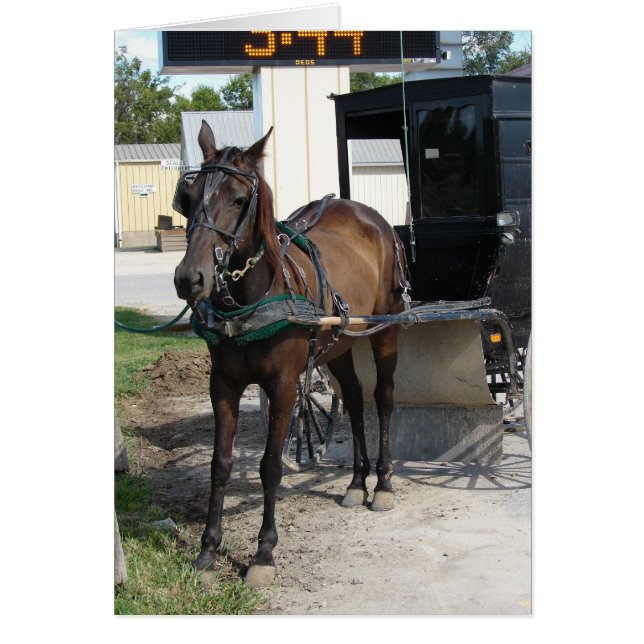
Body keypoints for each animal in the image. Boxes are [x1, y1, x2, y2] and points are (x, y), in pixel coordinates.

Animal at [173, 120, 409, 587]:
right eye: (188, 199)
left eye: (239, 199)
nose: (189, 278)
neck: (252, 297)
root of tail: (374, 219)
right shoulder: (222, 385)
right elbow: (220, 464)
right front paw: (208, 548)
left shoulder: (282, 386)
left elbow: (269, 466)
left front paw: (264, 553)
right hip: (339, 344)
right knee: (355, 401)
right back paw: (357, 482)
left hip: (385, 329)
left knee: (383, 398)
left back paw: (383, 485)